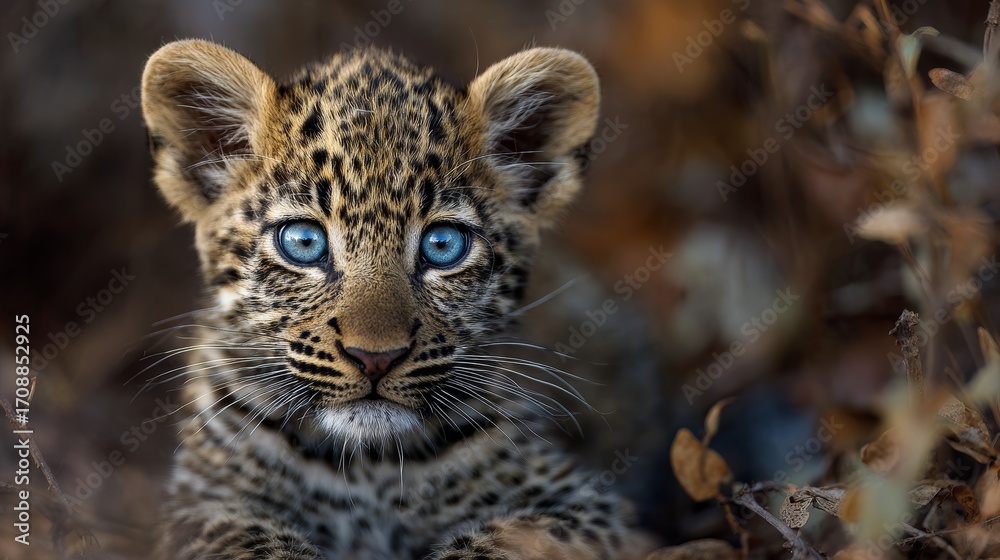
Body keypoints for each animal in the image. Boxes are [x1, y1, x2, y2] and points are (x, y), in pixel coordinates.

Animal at [141, 38, 647, 560]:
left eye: (443, 245)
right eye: (303, 241)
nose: (375, 358)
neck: (370, 467)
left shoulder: (580, 503)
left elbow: (495, 545)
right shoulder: (205, 504)